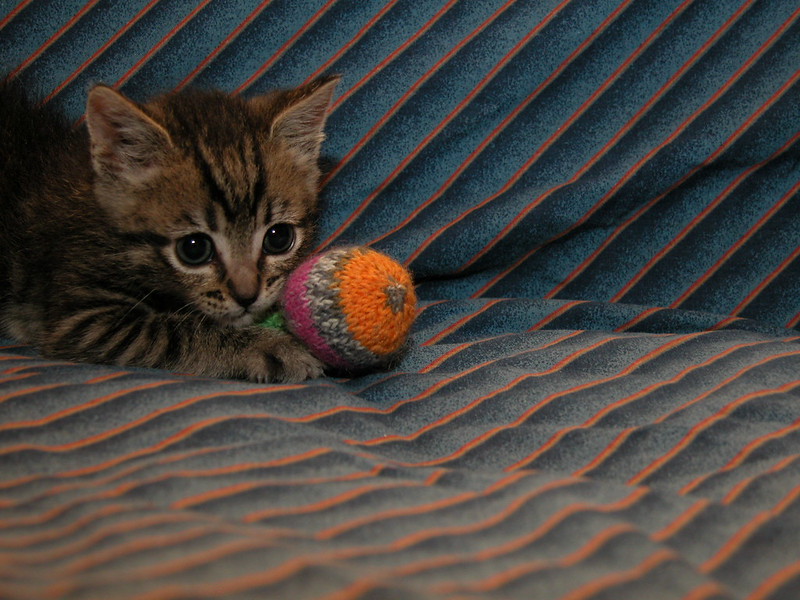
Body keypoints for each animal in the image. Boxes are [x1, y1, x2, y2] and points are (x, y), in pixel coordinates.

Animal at [0, 76, 340, 384]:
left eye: (279, 238)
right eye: (194, 248)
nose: (247, 296)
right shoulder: (81, 320)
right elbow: (174, 330)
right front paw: (271, 347)